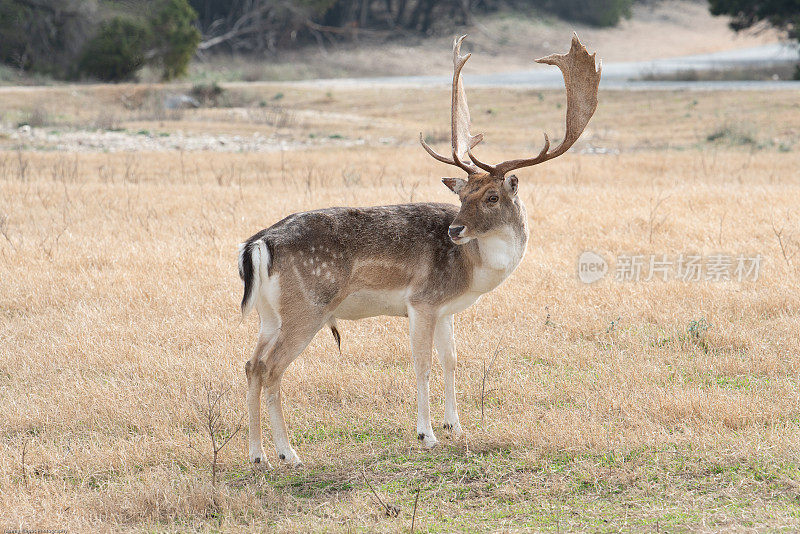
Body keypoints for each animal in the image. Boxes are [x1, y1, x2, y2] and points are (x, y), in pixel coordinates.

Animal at [238, 34, 600, 468]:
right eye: (462, 195)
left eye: (491, 196)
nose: (455, 229)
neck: (473, 269)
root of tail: (259, 243)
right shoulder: (422, 301)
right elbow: (422, 364)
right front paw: (426, 435)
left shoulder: (445, 309)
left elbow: (451, 360)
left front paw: (455, 426)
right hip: (306, 308)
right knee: (272, 367)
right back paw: (287, 454)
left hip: (268, 314)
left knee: (251, 364)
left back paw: (258, 454)